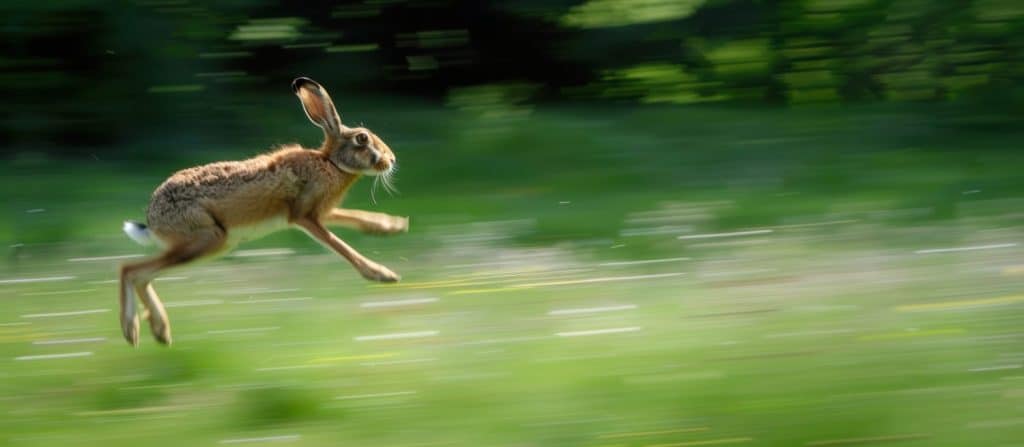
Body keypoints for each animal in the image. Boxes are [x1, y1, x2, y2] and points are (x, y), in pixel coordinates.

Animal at [118, 77, 408, 346]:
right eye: (362, 138)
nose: (392, 160)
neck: (330, 163)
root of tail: (152, 219)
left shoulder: (321, 212)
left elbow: (353, 216)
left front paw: (392, 226)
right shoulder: (304, 215)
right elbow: (339, 245)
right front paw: (382, 274)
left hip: (212, 244)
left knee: (142, 275)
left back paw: (159, 331)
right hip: (207, 239)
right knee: (130, 269)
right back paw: (134, 330)